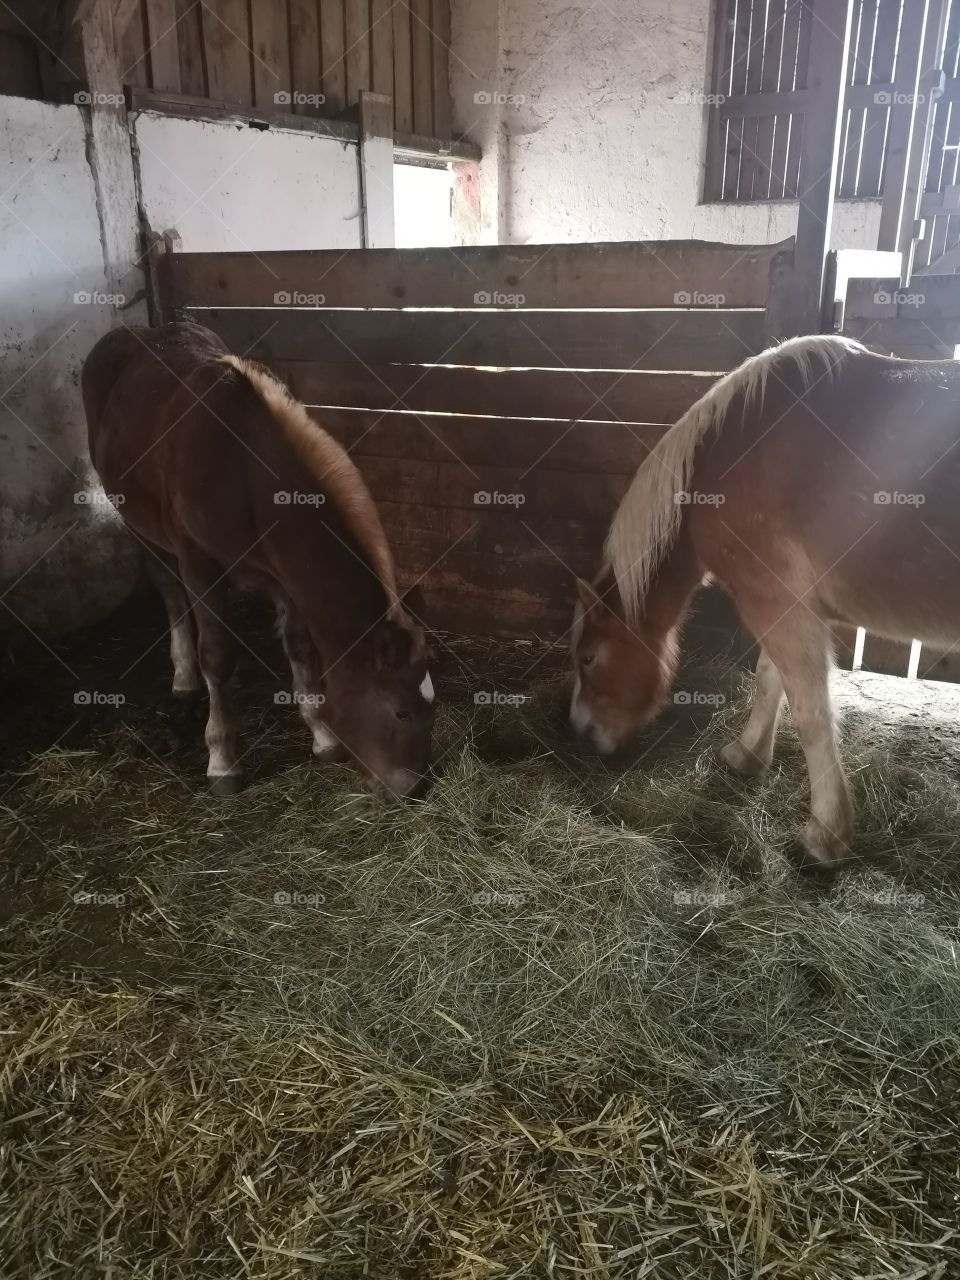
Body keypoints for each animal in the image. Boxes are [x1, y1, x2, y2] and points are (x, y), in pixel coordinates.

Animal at [82, 320, 434, 799]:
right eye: (400, 711)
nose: (415, 788)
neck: (243, 473)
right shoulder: (199, 563)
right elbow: (217, 654)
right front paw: (222, 760)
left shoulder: (285, 574)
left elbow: (300, 648)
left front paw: (322, 737)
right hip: (135, 520)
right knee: (168, 588)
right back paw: (184, 675)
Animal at [570, 334, 960, 866]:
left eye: (589, 658)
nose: (580, 729)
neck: (722, 456)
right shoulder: (786, 601)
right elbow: (769, 677)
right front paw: (748, 755)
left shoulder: (773, 597)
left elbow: (811, 712)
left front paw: (825, 835)